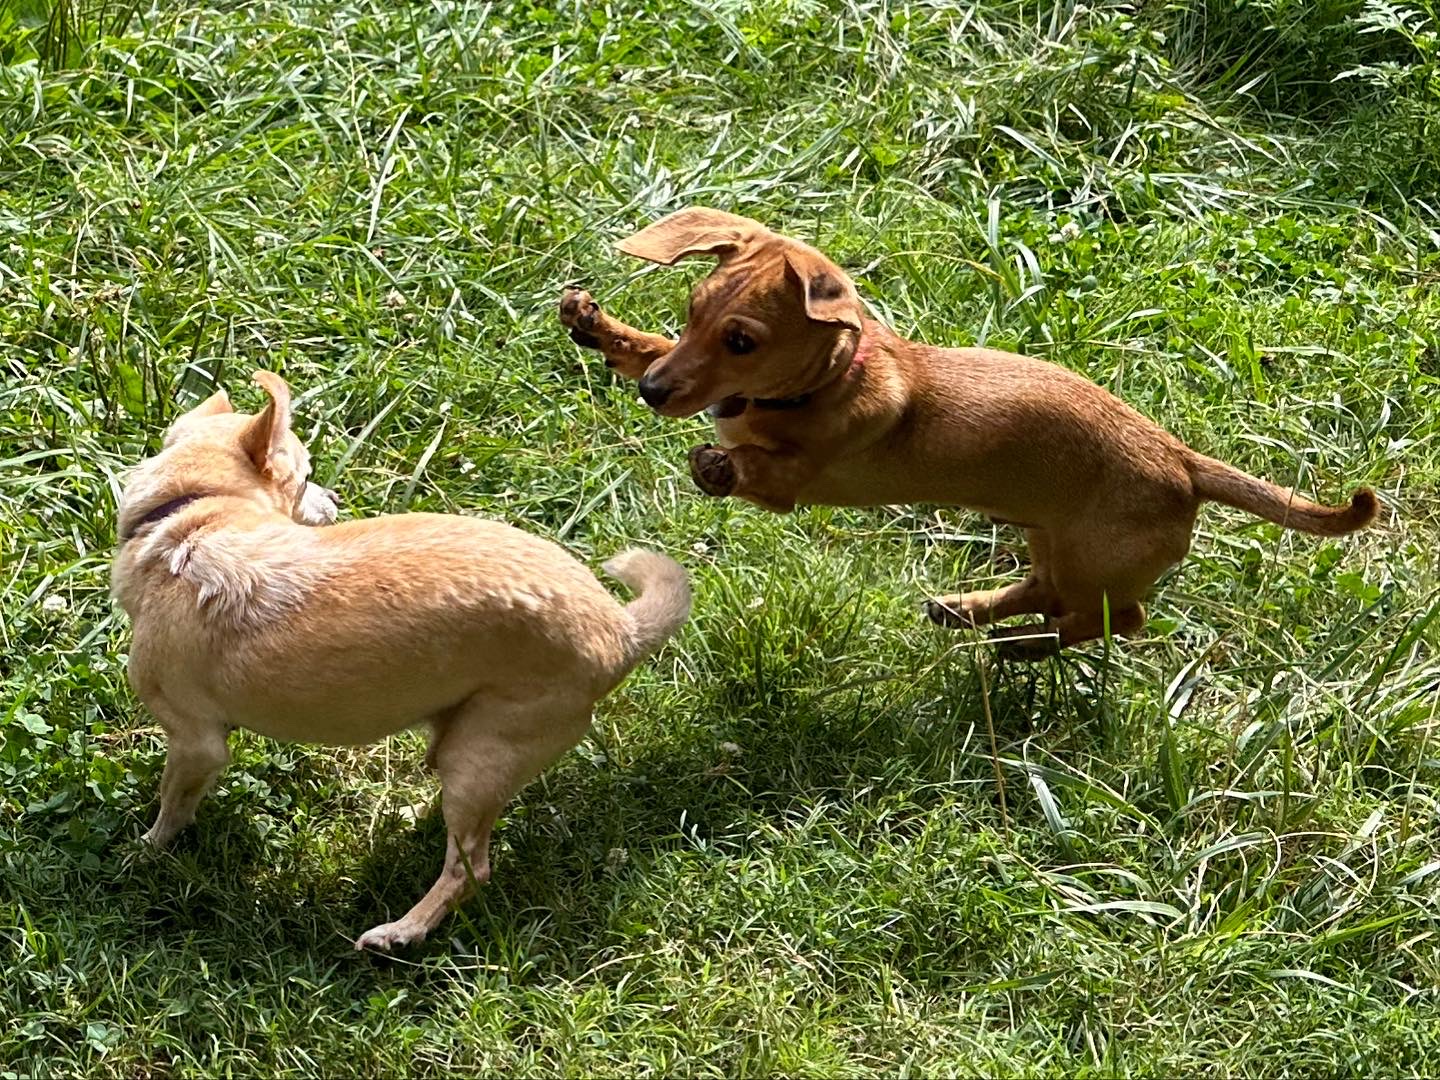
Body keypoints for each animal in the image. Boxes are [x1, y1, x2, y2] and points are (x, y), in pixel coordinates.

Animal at [110, 371, 690, 950]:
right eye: (308, 478)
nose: (335, 495)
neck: (188, 516)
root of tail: (620, 629)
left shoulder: (196, 744)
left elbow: (171, 806)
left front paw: (143, 853)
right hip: (464, 746)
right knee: (458, 817)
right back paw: (412, 818)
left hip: (482, 753)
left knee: (469, 868)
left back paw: (401, 932)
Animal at [558, 206, 1377, 654]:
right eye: (692, 310)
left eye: (741, 341)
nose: (653, 396)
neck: (821, 383)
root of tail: (1182, 461)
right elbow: (646, 346)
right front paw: (597, 326)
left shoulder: (797, 480)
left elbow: (763, 468)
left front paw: (720, 467)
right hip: (1052, 539)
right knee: (1048, 592)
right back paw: (973, 612)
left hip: (1096, 563)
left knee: (1117, 618)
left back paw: (1023, 649)